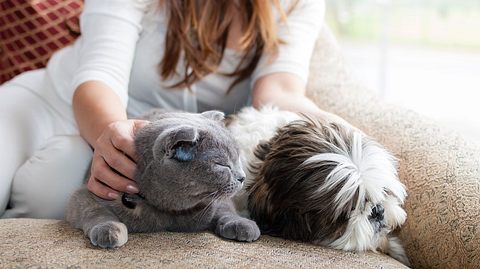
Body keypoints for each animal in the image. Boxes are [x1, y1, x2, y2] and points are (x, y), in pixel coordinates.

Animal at [65, 109, 260, 247]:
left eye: (237, 158)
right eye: (222, 165)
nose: (242, 177)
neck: (169, 212)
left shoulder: (215, 202)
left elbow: (226, 209)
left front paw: (243, 224)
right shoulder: (89, 192)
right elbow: (96, 211)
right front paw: (109, 230)